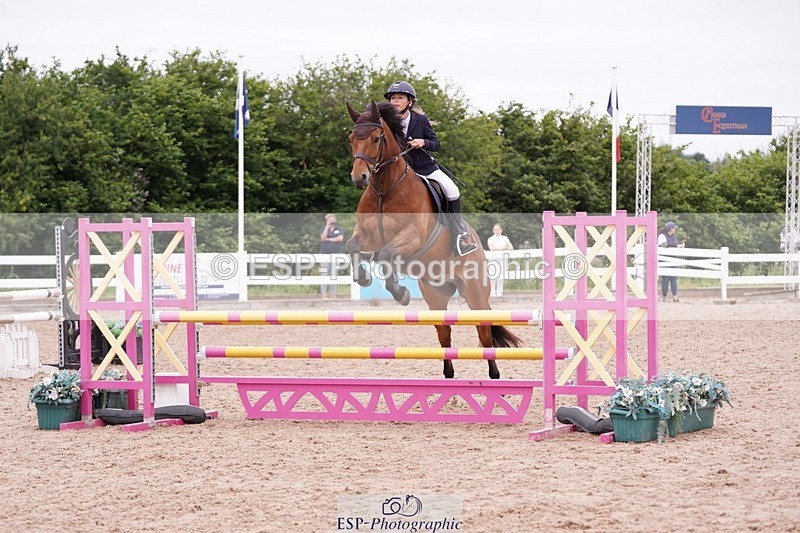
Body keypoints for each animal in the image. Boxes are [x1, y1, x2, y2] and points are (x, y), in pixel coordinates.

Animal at [345, 100, 522, 379]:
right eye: (352, 139)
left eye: (375, 138)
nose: (359, 178)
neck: (385, 188)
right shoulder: (367, 235)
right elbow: (354, 246)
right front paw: (365, 278)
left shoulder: (413, 235)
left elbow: (386, 254)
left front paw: (400, 291)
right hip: (435, 295)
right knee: (444, 334)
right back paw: (448, 374)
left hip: (475, 293)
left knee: (484, 333)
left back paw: (495, 376)